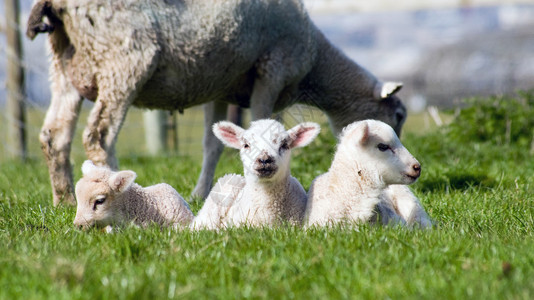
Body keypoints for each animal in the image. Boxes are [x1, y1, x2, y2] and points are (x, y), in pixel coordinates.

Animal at [26, 0, 406, 206]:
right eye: (399, 114)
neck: (315, 64)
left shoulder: (223, 88)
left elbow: (214, 145)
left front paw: (201, 191)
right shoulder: (272, 68)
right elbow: (263, 124)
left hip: (65, 66)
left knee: (54, 136)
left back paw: (64, 199)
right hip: (123, 60)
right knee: (99, 135)